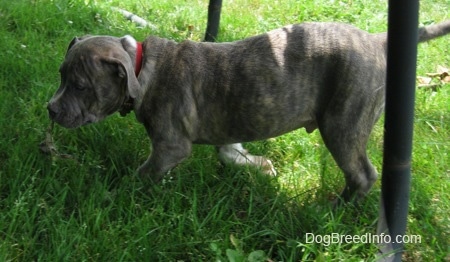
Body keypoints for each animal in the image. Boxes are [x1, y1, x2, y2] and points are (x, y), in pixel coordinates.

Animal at [47, 20, 448, 203]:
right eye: (61, 75)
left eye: (80, 86)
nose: (50, 109)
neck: (141, 67)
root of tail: (376, 39)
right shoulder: (229, 128)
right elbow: (230, 152)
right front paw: (259, 166)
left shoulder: (170, 145)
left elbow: (146, 172)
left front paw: (121, 192)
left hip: (344, 123)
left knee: (363, 174)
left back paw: (336, 208)